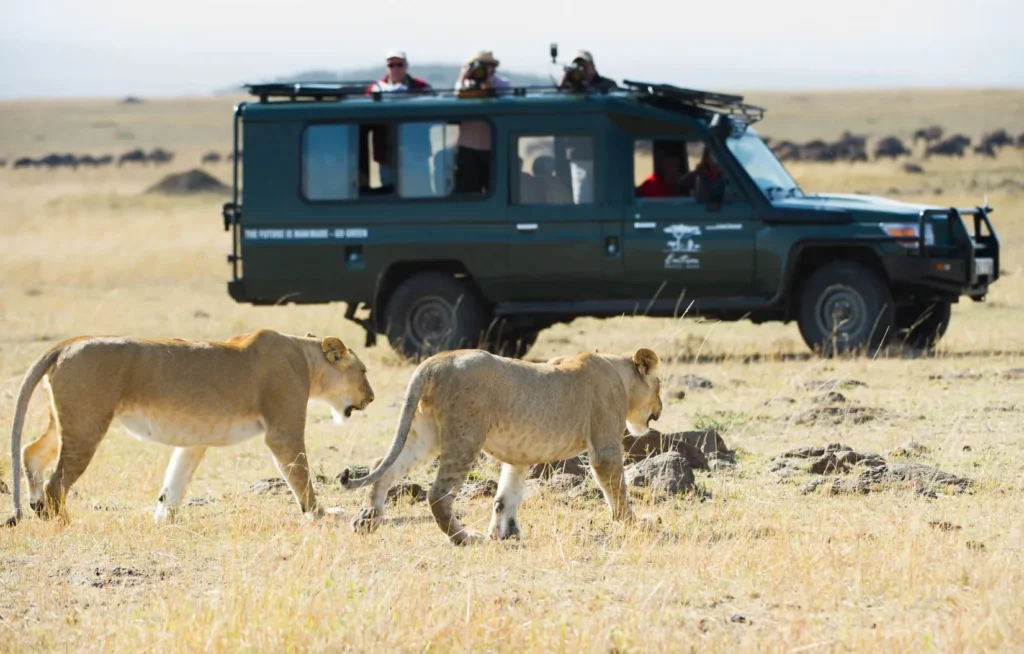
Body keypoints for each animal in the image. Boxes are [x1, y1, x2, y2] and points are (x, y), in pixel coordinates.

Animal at [4, 329, 374, 528]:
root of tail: (66, 343)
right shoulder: (283, 429)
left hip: (67, 422)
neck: (306, 358)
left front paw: (163, 519)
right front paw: (322, 514)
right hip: (87, 424)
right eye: (364, 371)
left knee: (31, 451)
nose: (371, 397)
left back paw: (36, 509)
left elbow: (174, 482)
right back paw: (62, 523)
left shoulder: (195, 439)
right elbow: (301, 476)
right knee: (56, 482)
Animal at [338, 347, 663, 545]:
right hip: (466, 436)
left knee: (382, 466)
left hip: (425, 436)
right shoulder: (605, 444)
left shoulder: (519, 456)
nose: (660, 409)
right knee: (438, 494)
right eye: (659, 385)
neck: (615, 369)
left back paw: (366, 519)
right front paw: (636, 522)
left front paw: (505, 534)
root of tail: (438, 360)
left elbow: (506, 496)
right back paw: (465, 538)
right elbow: (618, 489)